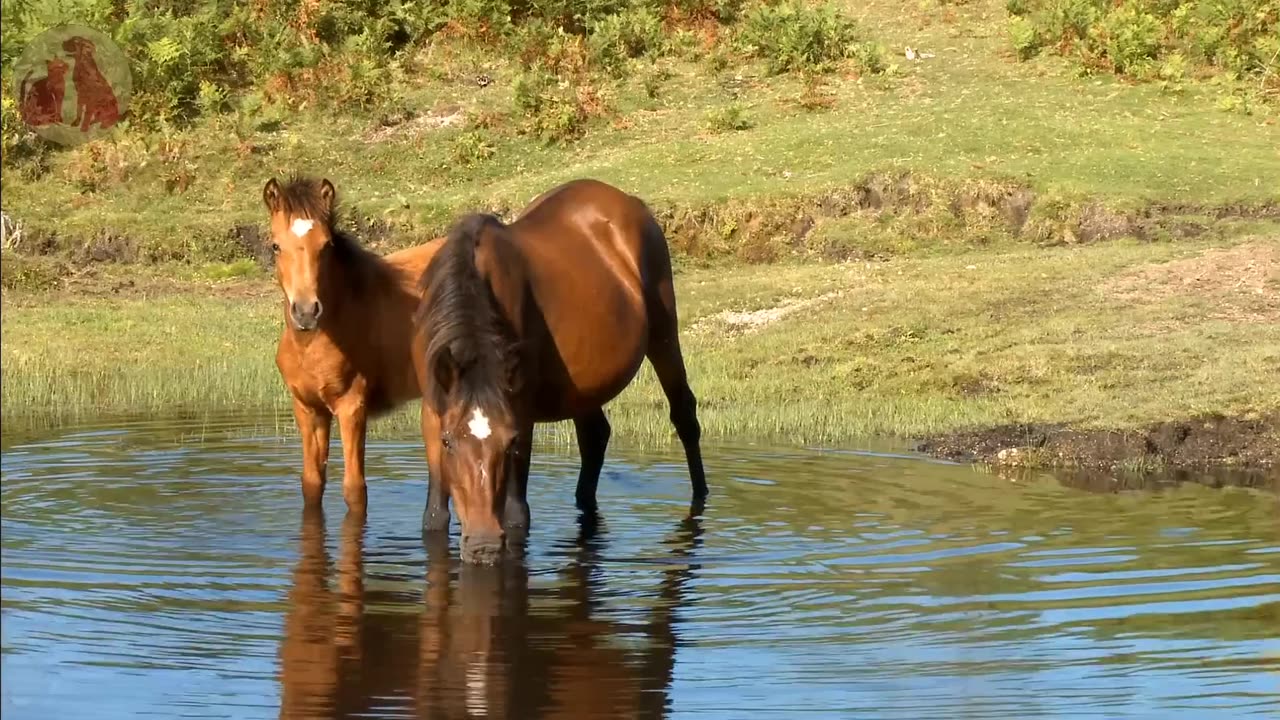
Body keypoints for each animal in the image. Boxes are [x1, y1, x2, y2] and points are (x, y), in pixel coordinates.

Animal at [259, 174, 440, 509]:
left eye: (326, 245)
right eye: (276, 246)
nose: (306, 311)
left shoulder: (351, 407)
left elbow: (355, 489)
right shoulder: (308, 410)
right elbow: (311, 483)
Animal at [412, 176, 706, 563]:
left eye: (509, 442)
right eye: (448, 441)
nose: (484, 545)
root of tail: (629, 201)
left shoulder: (521, 413)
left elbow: (516, 515)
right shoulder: (433, 414)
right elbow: (433, 517)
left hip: (663, 334)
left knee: (684, 416)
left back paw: (701, 498)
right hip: (585, 386)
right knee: (595, 436)